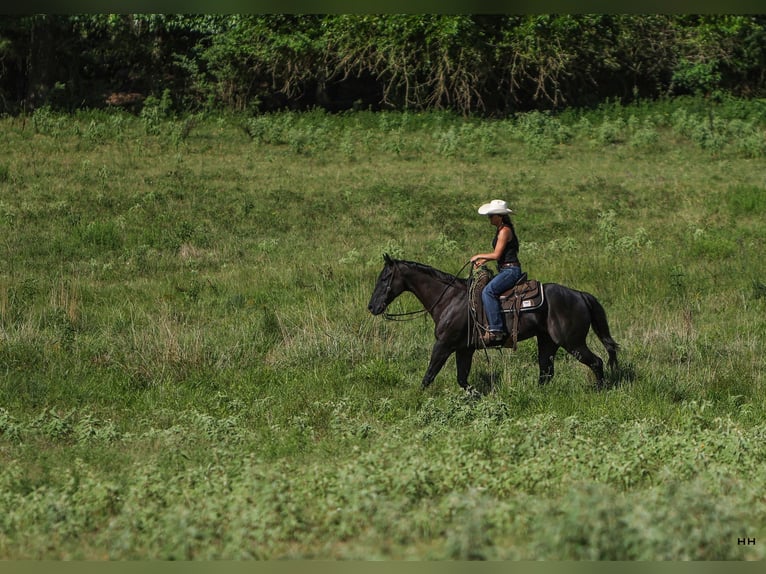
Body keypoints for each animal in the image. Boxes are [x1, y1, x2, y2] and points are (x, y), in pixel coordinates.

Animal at [368, 255, 620, 392]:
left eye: (384, 278)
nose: (372, 307)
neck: (450, 299)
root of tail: (580, 295)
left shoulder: (444, 345)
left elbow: (429, 375)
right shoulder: (464, 349)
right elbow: (462, 379)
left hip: (572, 342)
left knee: (596, 362)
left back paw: (600, 390)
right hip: (548, 341)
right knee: (546, 372)